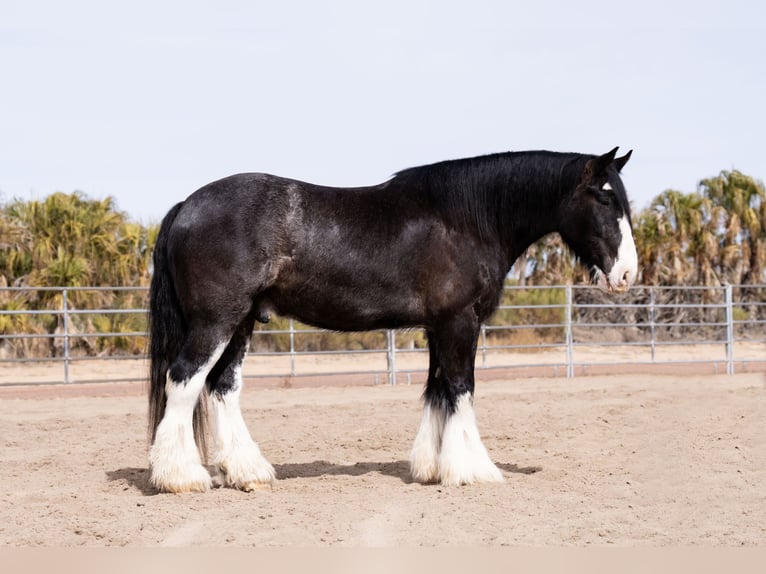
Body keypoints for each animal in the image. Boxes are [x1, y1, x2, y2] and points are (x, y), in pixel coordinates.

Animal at [147, 147, 640, 496]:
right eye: (603, 196)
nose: (627, 274)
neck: (467, 220)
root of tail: (187, 205)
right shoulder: (460, 322)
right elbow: (461, 389)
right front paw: (473, 469)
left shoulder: (438, 326)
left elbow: (437, 390)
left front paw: (432, 467)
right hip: (216, 320)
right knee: (184, 380)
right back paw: (181, 477)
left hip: (243, 321)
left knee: (222, 386)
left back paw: (247, 472)